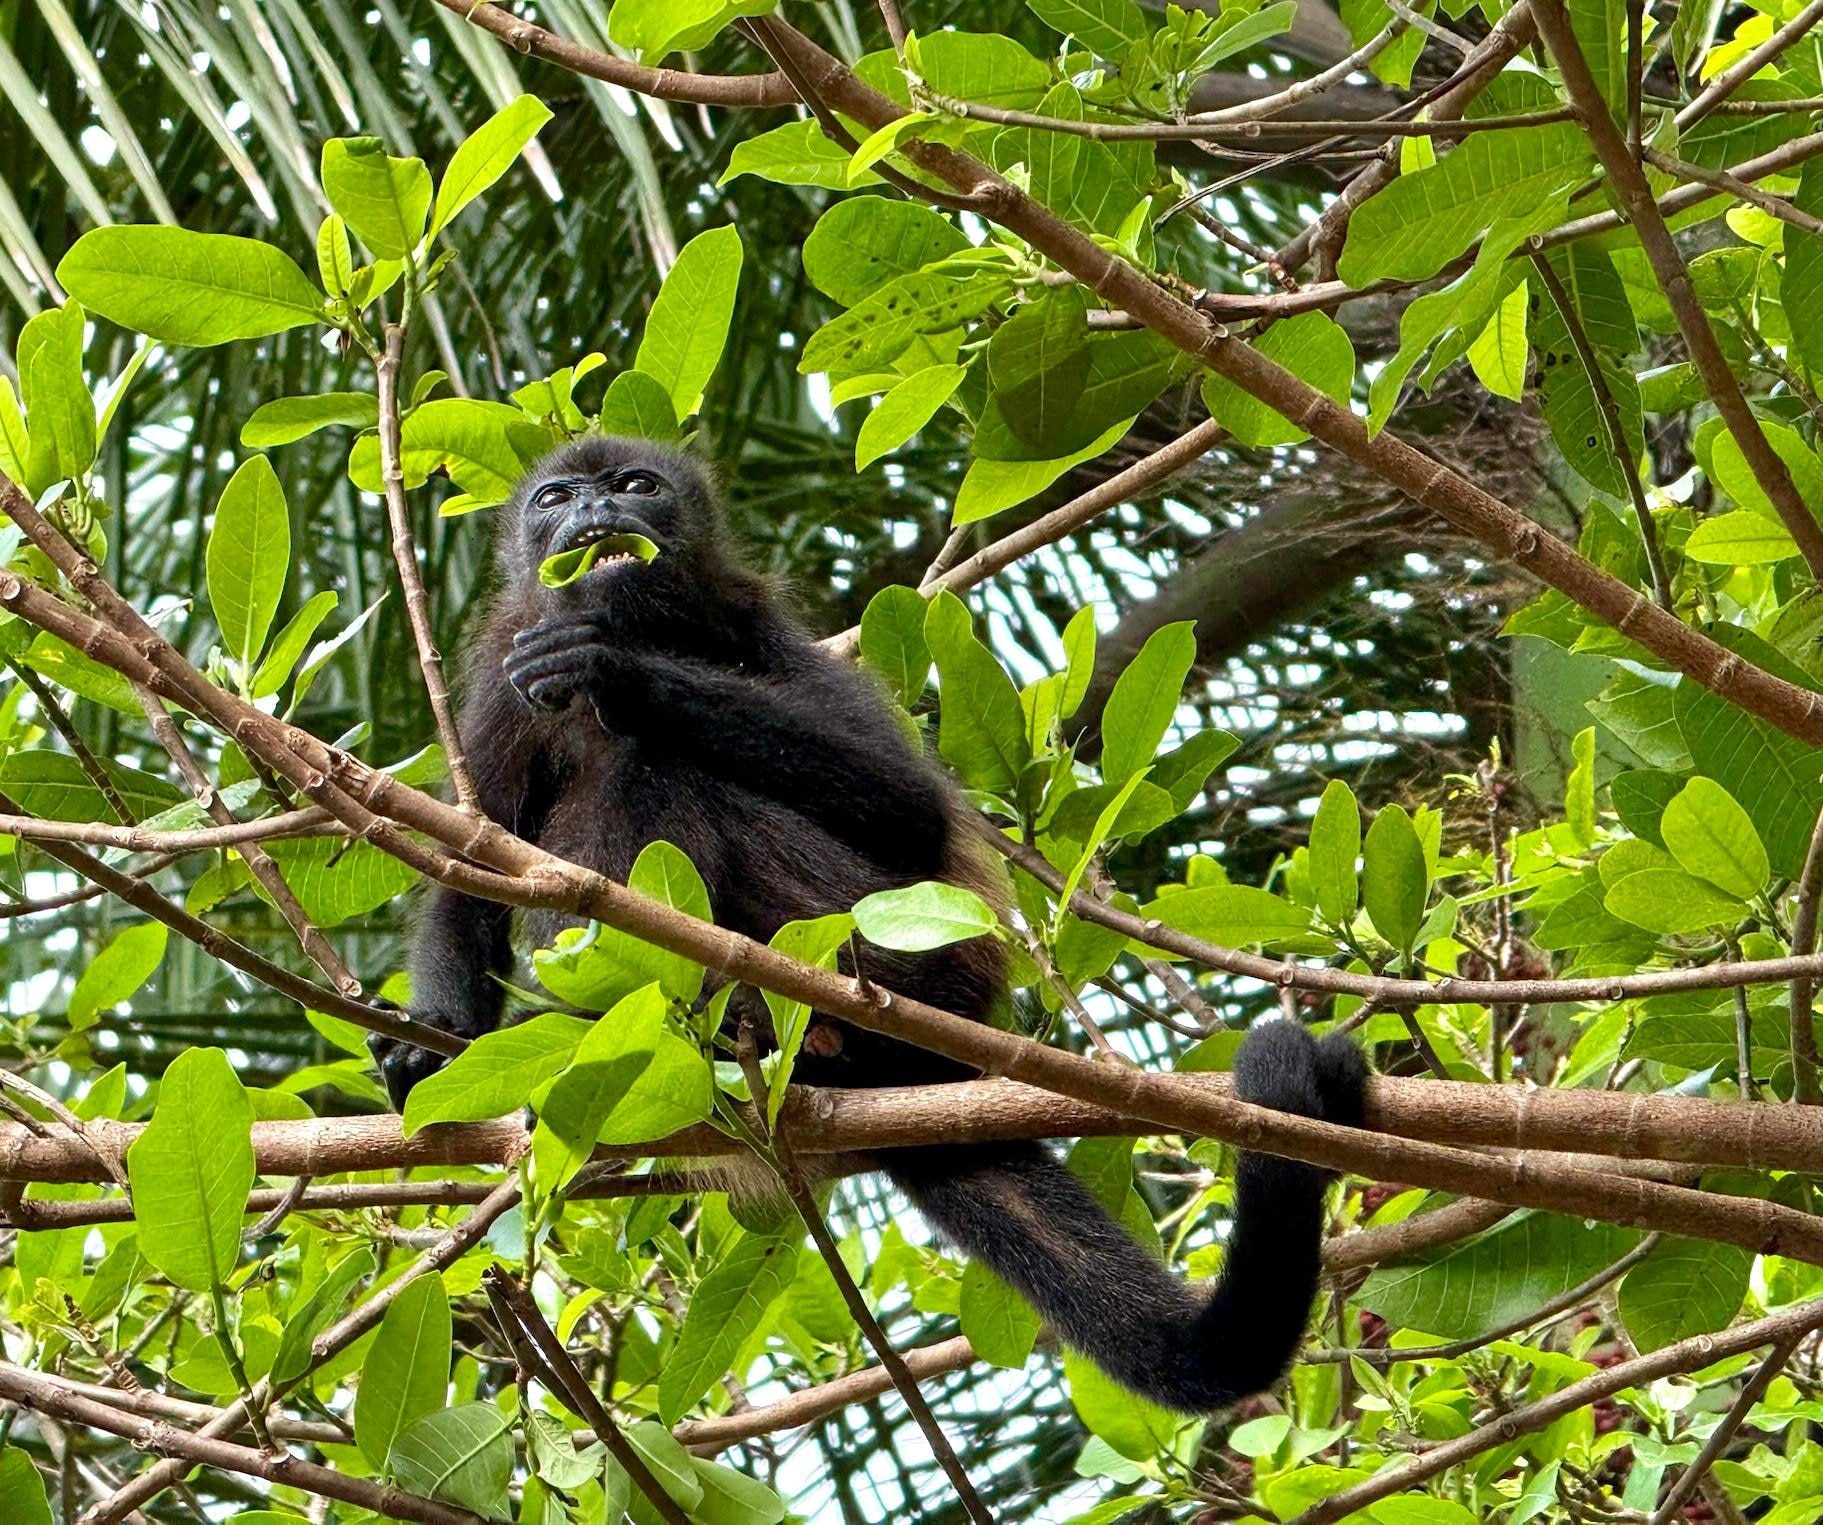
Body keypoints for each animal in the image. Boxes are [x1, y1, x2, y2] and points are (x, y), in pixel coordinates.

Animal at [373, 435, 1368, 1414]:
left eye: (635, 484)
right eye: (554, 499)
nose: (594, 508)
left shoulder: (762, 627)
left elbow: (908, 809)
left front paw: (622, 674)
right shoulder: (501, 673)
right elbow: (468, 870)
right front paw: (431, 1043)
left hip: (894, 951)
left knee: (656, 768)